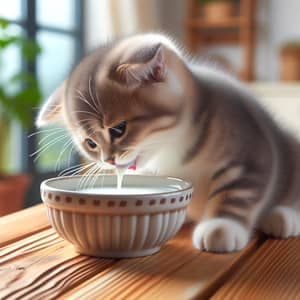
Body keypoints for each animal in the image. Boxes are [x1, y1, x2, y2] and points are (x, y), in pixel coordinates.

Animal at [36, 33, 300, 253]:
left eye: (118, 129)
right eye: (90, 143)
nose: (108, 160)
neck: (173, 148)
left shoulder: (252, 150)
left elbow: (237, 193)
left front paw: (221, 226)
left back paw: (282, 216)